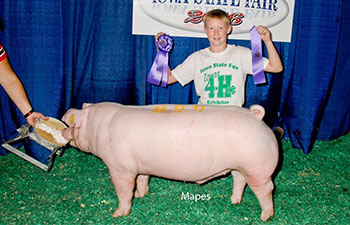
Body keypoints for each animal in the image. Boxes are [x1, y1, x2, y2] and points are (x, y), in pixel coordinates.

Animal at [60, 102, 278, 221]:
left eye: (72, 125)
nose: (63, 130)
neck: (100, 128)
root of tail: (256, 117)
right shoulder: (141, 166)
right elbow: (143, 180)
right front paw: (140, 195)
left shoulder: (120, 168)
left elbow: (124, 191)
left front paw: (117, 214)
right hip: (241, 166)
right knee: (239, 180)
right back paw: (234, 201)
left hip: (257, 167)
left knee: (266, 189)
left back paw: (265, 216)